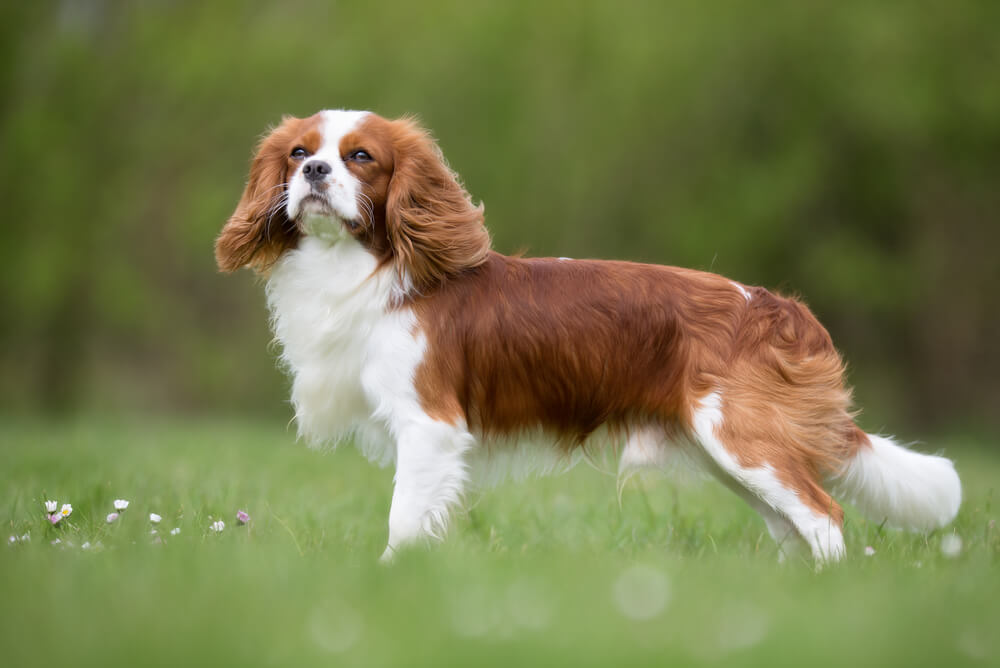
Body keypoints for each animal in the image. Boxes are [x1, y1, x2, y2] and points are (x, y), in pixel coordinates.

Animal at [217, 111, 960, 564]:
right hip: (730, 453)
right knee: (792, 523)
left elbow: (403, 519)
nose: (314, 173)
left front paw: (391, 575)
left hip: (742, 439)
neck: (363, 267)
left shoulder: (428, 426)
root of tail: (782, 310)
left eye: (361, 157)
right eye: (299, 152)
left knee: (825, 514)